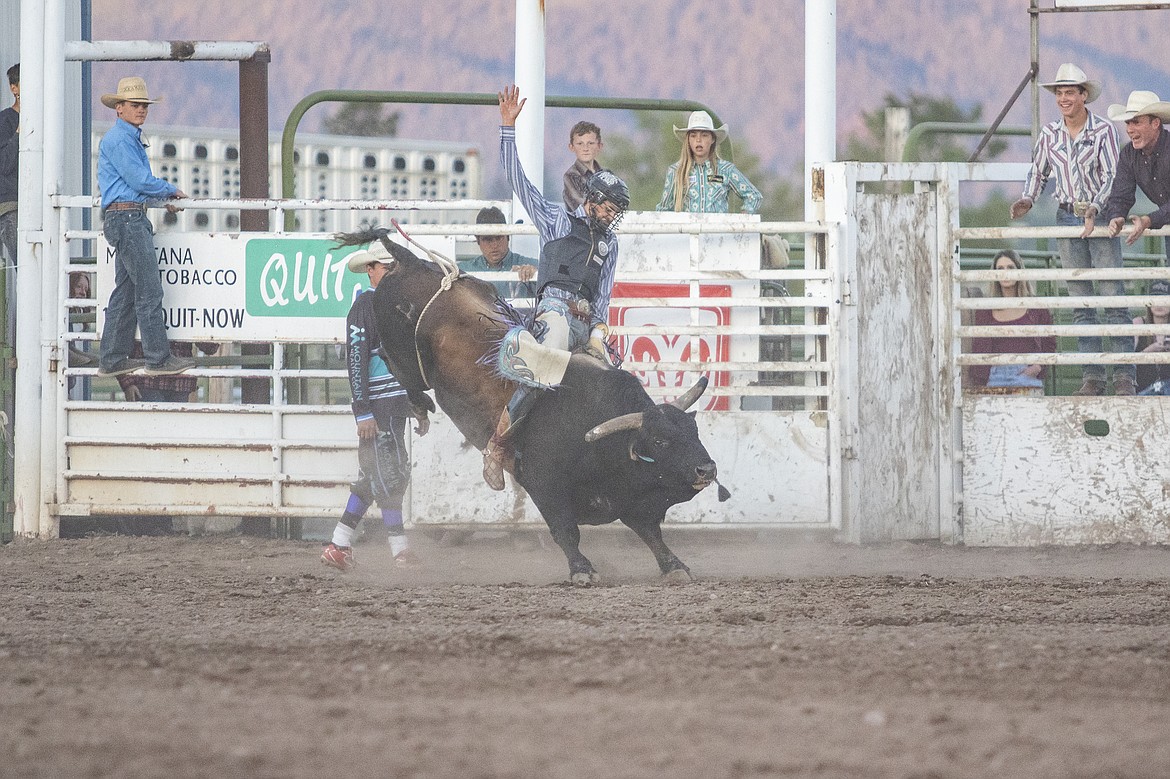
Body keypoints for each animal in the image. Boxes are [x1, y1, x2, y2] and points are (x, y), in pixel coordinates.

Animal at [339, 229, 716, 582]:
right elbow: (566, 531)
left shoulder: (631, 500)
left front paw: (674, 565)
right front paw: (582, 569)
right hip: (401, 352)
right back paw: (418, 406)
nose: (707, 469)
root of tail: (410, 261)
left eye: (694, 432)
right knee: (398, 368)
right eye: (659, 440)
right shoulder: (543, 485)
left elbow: (650, 533)